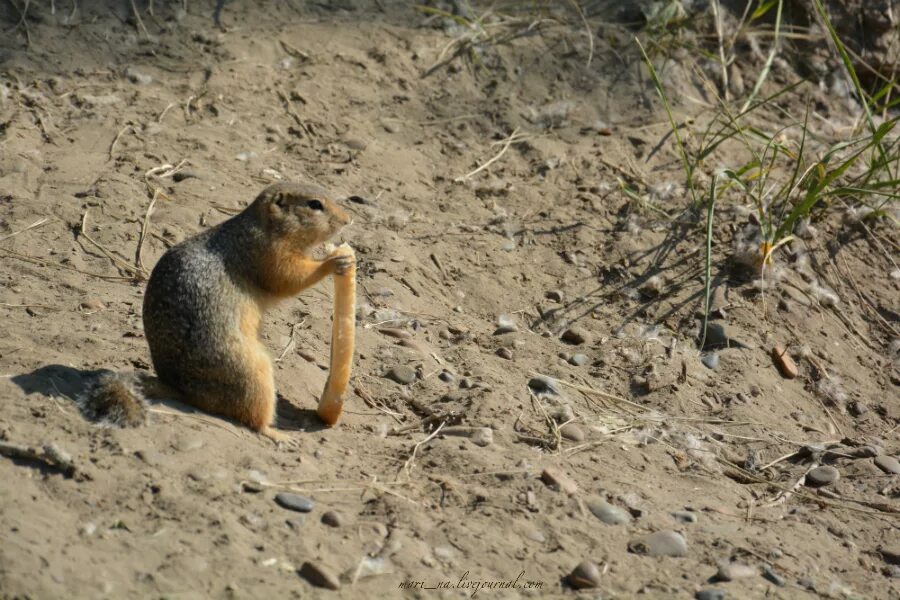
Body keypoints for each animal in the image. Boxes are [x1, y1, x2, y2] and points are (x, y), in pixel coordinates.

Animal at [82, 182, 354, 440]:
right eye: (315, 204)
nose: (347, 220)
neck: (264, 226)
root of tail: (183, 392)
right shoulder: (266, 252)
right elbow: (288, 277)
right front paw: (335, 261)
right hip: (252, 371)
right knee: (252, 417)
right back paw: (278, 434)